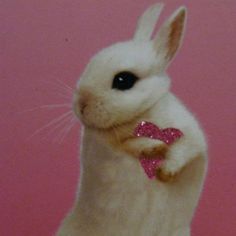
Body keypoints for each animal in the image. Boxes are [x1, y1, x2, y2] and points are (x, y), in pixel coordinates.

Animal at [56, 2, 206, 236]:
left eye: (123, 80)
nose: (81, 105)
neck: (140, 116)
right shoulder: (110, 144)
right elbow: (131, 144)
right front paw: (154, 147)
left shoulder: (191, 135)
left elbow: (184, 150)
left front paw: (166, 172)